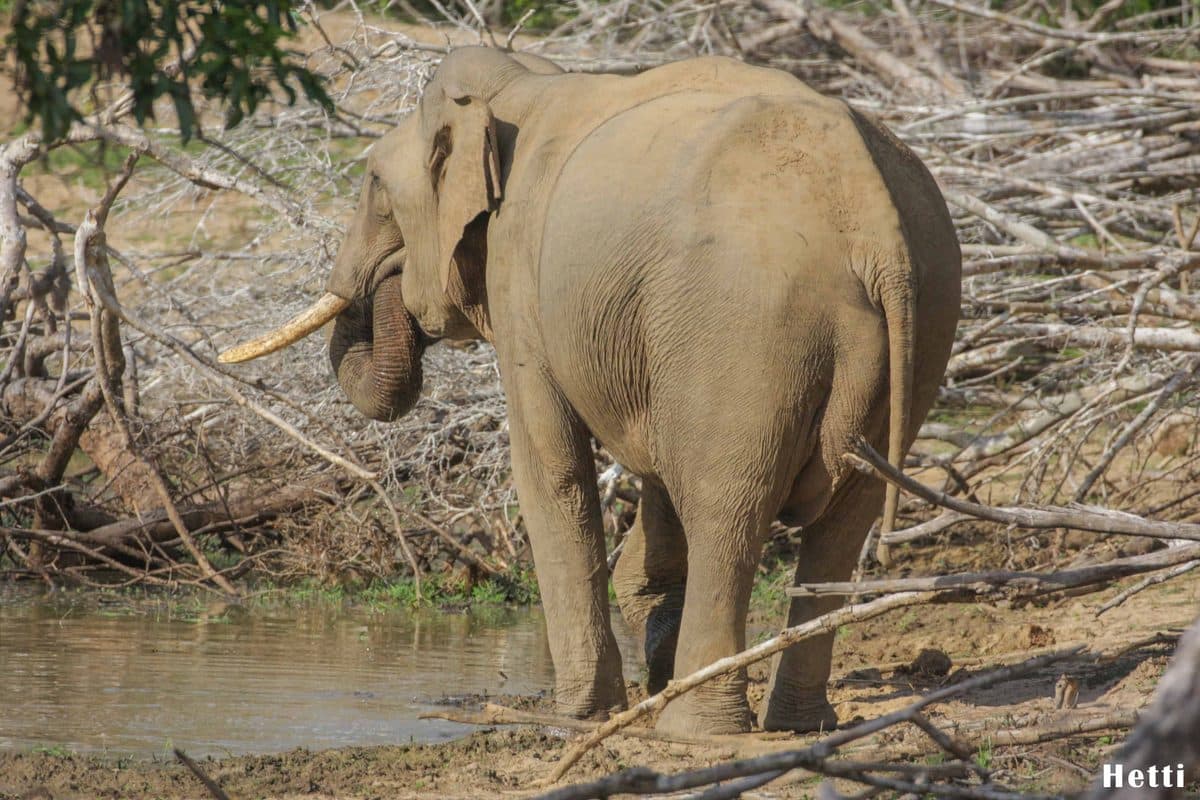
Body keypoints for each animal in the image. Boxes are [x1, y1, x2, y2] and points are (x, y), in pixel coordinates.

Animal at [220, 47, 961, 736]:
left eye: (373, 182)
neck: (517, 86)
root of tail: (872, 220)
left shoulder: (521, 280)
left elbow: (551, 470)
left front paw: (576, 716)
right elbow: (656, 478)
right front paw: (647, 640)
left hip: (745, 327)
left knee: (727, 509)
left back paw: (695, 729)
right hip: (922, 323)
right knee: (843, 517)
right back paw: (795, 723)